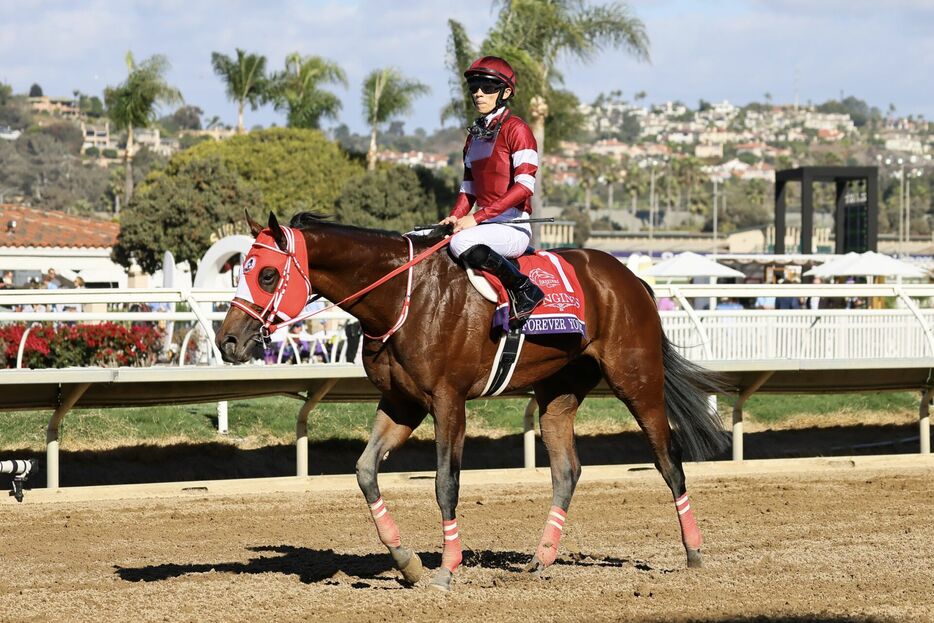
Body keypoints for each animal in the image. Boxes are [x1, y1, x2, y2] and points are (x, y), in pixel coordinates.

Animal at [218, 212, 732, 592]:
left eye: (268, 274)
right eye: (241, 272)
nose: (228, 341)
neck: (404, 296)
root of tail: (631, 279)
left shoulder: (449, 401)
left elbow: (446, 483)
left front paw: (446, 570)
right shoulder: (402, 402)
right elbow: (365, 472)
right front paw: (407, 562)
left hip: (637, 380)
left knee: (668, 459)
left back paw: (694, 552)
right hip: (559, 393)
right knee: (567, 471)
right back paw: (541, 559)